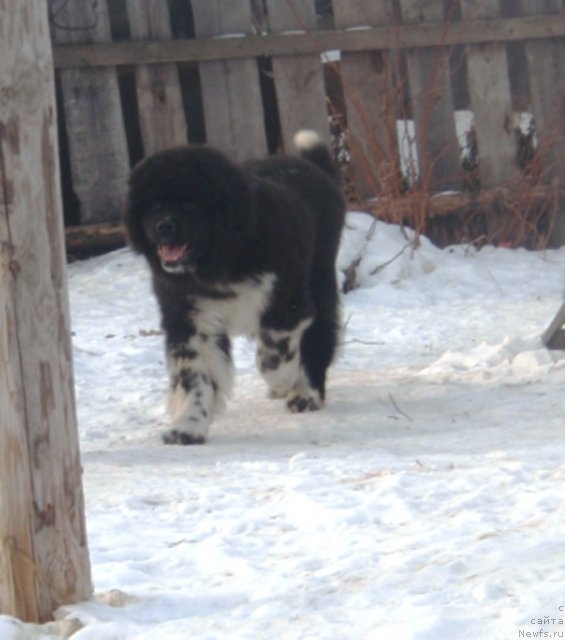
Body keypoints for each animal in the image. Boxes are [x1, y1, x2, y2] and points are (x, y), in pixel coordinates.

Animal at [124, 132, 344, 444]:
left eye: (189, 205)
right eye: (153, 206)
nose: (164, 226)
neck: (222, 260)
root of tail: (315, 169)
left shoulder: (287, 303)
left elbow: (274, 357)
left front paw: (284, 380)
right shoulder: (190, 319)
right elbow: (195, 376)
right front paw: (188, 426)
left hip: (320, 280)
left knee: (319, 337)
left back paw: (305, 394)